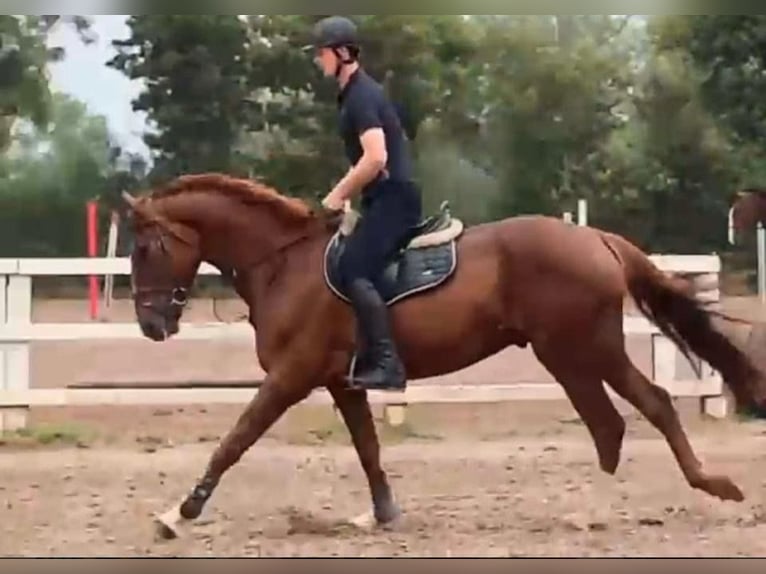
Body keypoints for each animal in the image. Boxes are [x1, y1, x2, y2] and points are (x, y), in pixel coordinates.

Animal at [121, 173, 766, 544]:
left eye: (147, 247)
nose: (151, 326)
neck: (284, 263)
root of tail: (597, 239)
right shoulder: (341, 382)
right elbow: (369, 449)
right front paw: (382, 516)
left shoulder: (291, 376)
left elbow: (235, 439)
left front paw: (179, 513)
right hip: (573, 354)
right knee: (615, 423)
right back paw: (597, 509)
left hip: (581, 349)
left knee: (639, 410)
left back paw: (658, 496)